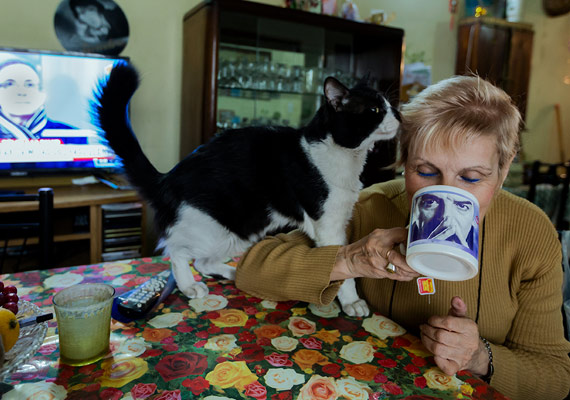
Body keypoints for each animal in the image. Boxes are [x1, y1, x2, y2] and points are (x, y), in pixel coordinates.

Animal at [95, 62, 398, 318]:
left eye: (390, 105)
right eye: (374, 111)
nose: (398, 116)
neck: (345, 156)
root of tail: (167, 178)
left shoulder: (341, 219)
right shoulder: (328, 225)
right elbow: (343, 265)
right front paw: (352, 301)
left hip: (241, 231)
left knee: (203, 262)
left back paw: (233, 273)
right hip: (212, 227)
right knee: (176, 250)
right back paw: (189, 285)